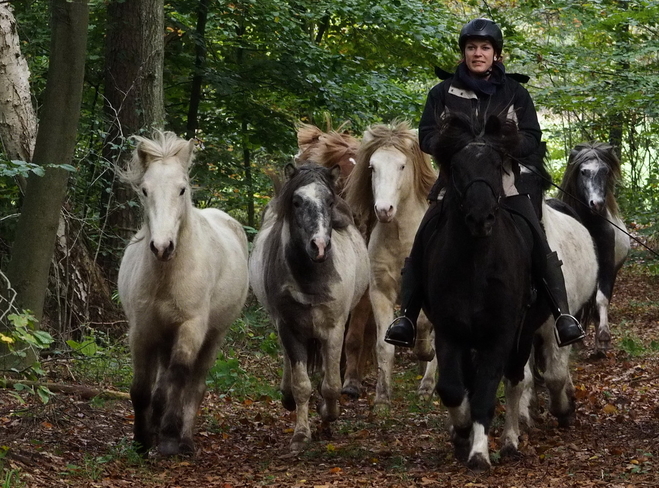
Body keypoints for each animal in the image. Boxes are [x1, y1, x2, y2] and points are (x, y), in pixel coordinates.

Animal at [117, 132, 249, 456]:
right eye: (145, 190)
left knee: (195, 385)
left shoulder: (191, 328)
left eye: (182, 189)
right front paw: (141, 440)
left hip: (213, 336)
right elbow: (141, 388)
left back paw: (185, 439)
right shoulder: (142, 330)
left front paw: (167, 439)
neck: (168, 276)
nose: (162, 247)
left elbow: (177, 380)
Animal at [250, 162, 372, 452]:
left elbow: (331, 385)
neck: (310, 278)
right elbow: (302, 385)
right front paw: (301, 434)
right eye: (296, 201)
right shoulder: (288, 328)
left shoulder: (334, 329)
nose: (319, 246)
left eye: (329, 201)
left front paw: (328, 416)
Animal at [342, 119, 440, 408]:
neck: (401, 239)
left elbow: (424, 326)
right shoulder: (380, 292)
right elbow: (384, 346)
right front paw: (382, 398)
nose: (384, 210)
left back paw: (427, 384)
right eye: (372, 167)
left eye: (402, 166)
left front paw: (425, 353)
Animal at [422, 112, 600, 470]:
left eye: (540, 183)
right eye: (456, 167)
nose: (481, 217)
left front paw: (562, 409)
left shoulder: (516, 332)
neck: (475, 267)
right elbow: (455, 387)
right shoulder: (451, 332)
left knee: (521, 377)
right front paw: (463, 433)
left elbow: (544, 376)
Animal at [560, 143, 632, 352]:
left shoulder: (607, 265)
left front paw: (604, 337)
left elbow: (601, 298)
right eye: (583, 171)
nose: (597, 204)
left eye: (606, 171)